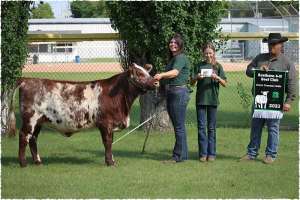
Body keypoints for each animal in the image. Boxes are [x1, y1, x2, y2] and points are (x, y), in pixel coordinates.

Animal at [15, 63, 158, 166]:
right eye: (140, 73)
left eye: (148, 72)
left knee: (33, 138)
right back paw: (23, 163)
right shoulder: (106, 123)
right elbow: (108, 142)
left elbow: (110, 142)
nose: (156, 82)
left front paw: (112, 160)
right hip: (30, 119)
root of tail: (26, 80)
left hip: (39, 121)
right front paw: (110, 162)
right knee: (24, 136)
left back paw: (38, 161)